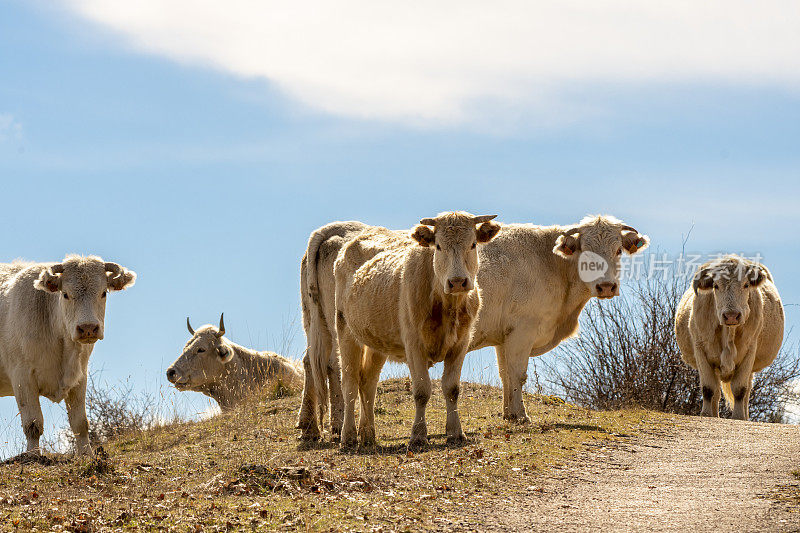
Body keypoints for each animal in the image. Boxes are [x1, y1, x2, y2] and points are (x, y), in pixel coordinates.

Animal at [0, 256, 136, 456]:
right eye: (65, 294)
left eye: (103, 293)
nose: (88, 328)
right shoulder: (22, 377)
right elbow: (33, 424)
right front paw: (33, 456)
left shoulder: (80, 376)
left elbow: (80, 422)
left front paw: (87, 454)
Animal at [332, 212, 496, 448]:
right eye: (438, 246)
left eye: (473, 244)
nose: (457, 282)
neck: (447, 306)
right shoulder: (414, 344)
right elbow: (421, 391)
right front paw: (418, 435)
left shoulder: (460, 344)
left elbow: (452, 389)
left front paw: (455, 433)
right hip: (345, 330)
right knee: (350, 383)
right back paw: (349, 436)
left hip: (377, 342)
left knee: (368, 382)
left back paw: (369, 434)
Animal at [676, 255, 780, 420]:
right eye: (716, 286)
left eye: (746, 285)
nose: (731, 315)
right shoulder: (700, 350)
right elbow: (708, 388)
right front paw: (706, 414)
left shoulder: (749, 352)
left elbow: (740, 390)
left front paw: (738, 416)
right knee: (716, 392)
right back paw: (714, 414)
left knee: (746, 391)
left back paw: (745, 416)